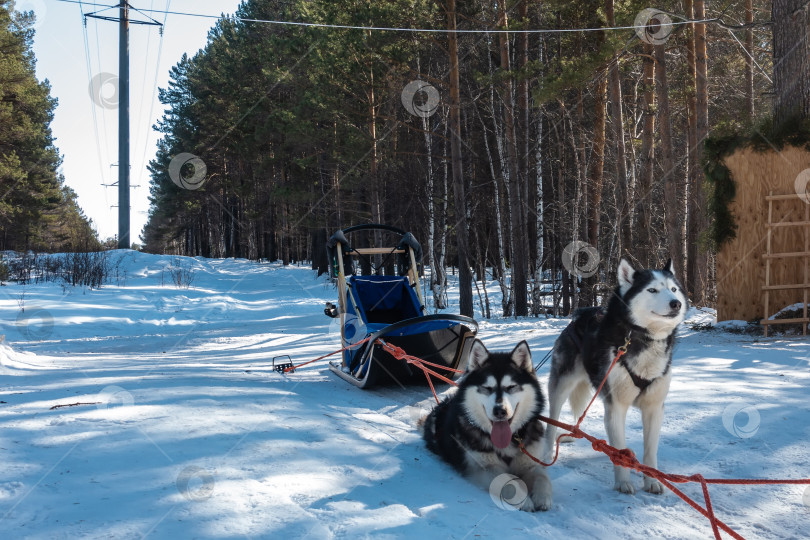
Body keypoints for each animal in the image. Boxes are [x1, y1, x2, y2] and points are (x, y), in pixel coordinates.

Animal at [420, 340, 552, 512]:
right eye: (487, 388)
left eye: (511, 387)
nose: (500, 411)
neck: (508, 443)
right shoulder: (482, 468)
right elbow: (506, 479)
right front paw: (524, 500)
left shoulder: (530, 462)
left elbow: (542, 477)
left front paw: (542, 497)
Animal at [540, 258, 684, 494]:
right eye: (652, 290)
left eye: (673, 289)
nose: (676, 304)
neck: (644, 339)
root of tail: (578, 317)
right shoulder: (616, 405)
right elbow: (619, 448)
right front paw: (623, 482)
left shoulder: (654, 408)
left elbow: (650, 451)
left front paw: (652, 480)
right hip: (561, 387)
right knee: (552, 423)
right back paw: (547, 454)